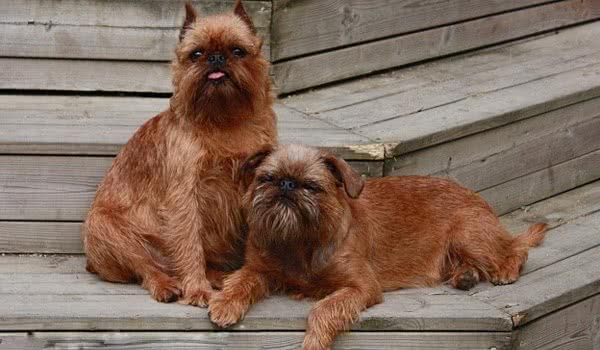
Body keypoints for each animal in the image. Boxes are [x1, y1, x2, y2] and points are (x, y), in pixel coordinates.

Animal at [84, 0, 276, 306]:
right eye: (196, 54)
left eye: (237, 51)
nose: (216, 58)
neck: (224, 120)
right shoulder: (185, 196)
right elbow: (189, 242)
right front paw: (196, 289)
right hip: (104, 226)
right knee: (145, 266)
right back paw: (167, 284)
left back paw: (216, 275)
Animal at [209, 144, 548, 350]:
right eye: (267, 178)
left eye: (312, 186)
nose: (287, 185)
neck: (299, 243)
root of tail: (479, 199)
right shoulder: (258, 269)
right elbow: (240, 281)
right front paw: (225, 303)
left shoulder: (361, 287)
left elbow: (324, 308)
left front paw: (314, 341)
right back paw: (465, 276)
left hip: (468, 235)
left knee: (516, 250)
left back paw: (504, 270)